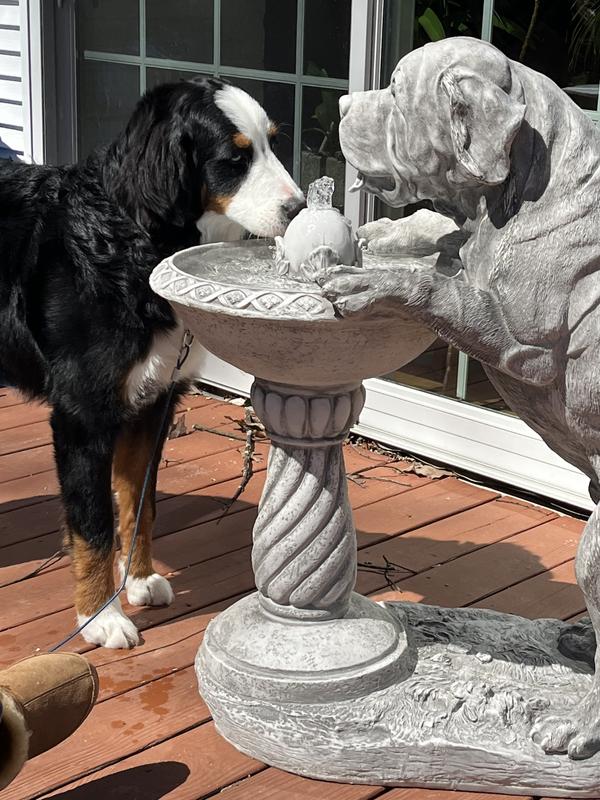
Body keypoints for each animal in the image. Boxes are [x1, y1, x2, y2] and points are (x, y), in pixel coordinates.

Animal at [1, 76, 304, 648]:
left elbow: (141, 503)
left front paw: (138, 581)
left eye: (274, 142)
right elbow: (93, 523)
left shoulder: (154, 400)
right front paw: (100, 616)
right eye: (235, 157)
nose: (299, 208)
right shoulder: (83, 413)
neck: (138, 243)